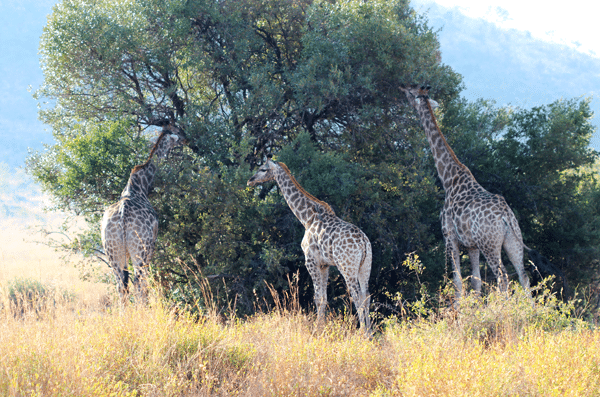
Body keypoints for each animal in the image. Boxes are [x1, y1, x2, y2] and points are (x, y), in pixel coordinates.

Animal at [102, 127, 182, 300]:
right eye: (176, 134)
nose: (184, 139)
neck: (139, 186)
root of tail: (123, 217)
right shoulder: (151, 247)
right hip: (140, 250)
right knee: (138, 283)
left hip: (112, 250)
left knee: (121, 286)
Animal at [247, 159, 370, 330]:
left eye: (263, 169)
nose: (250, 181)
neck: (307, 218)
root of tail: (364, 243)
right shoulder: (325, 264)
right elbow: (324, 298)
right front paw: (322, 327)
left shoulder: (310, 260)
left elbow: (318, 298)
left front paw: (317, 330)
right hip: (365, 266)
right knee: (367, 296)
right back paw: (371, 332)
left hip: (347, 266)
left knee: (357, 297)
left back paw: (362, 332)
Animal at [398, 85, 528, 298]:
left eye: (410, 92)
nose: (401, 90)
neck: (448, 178)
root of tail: (506, 216)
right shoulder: (471, 245)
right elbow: (476, 281)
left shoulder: (449, 237)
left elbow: (457, 281)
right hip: (513, 240)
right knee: (523, 276)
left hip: (489, 245)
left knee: (503, 278)